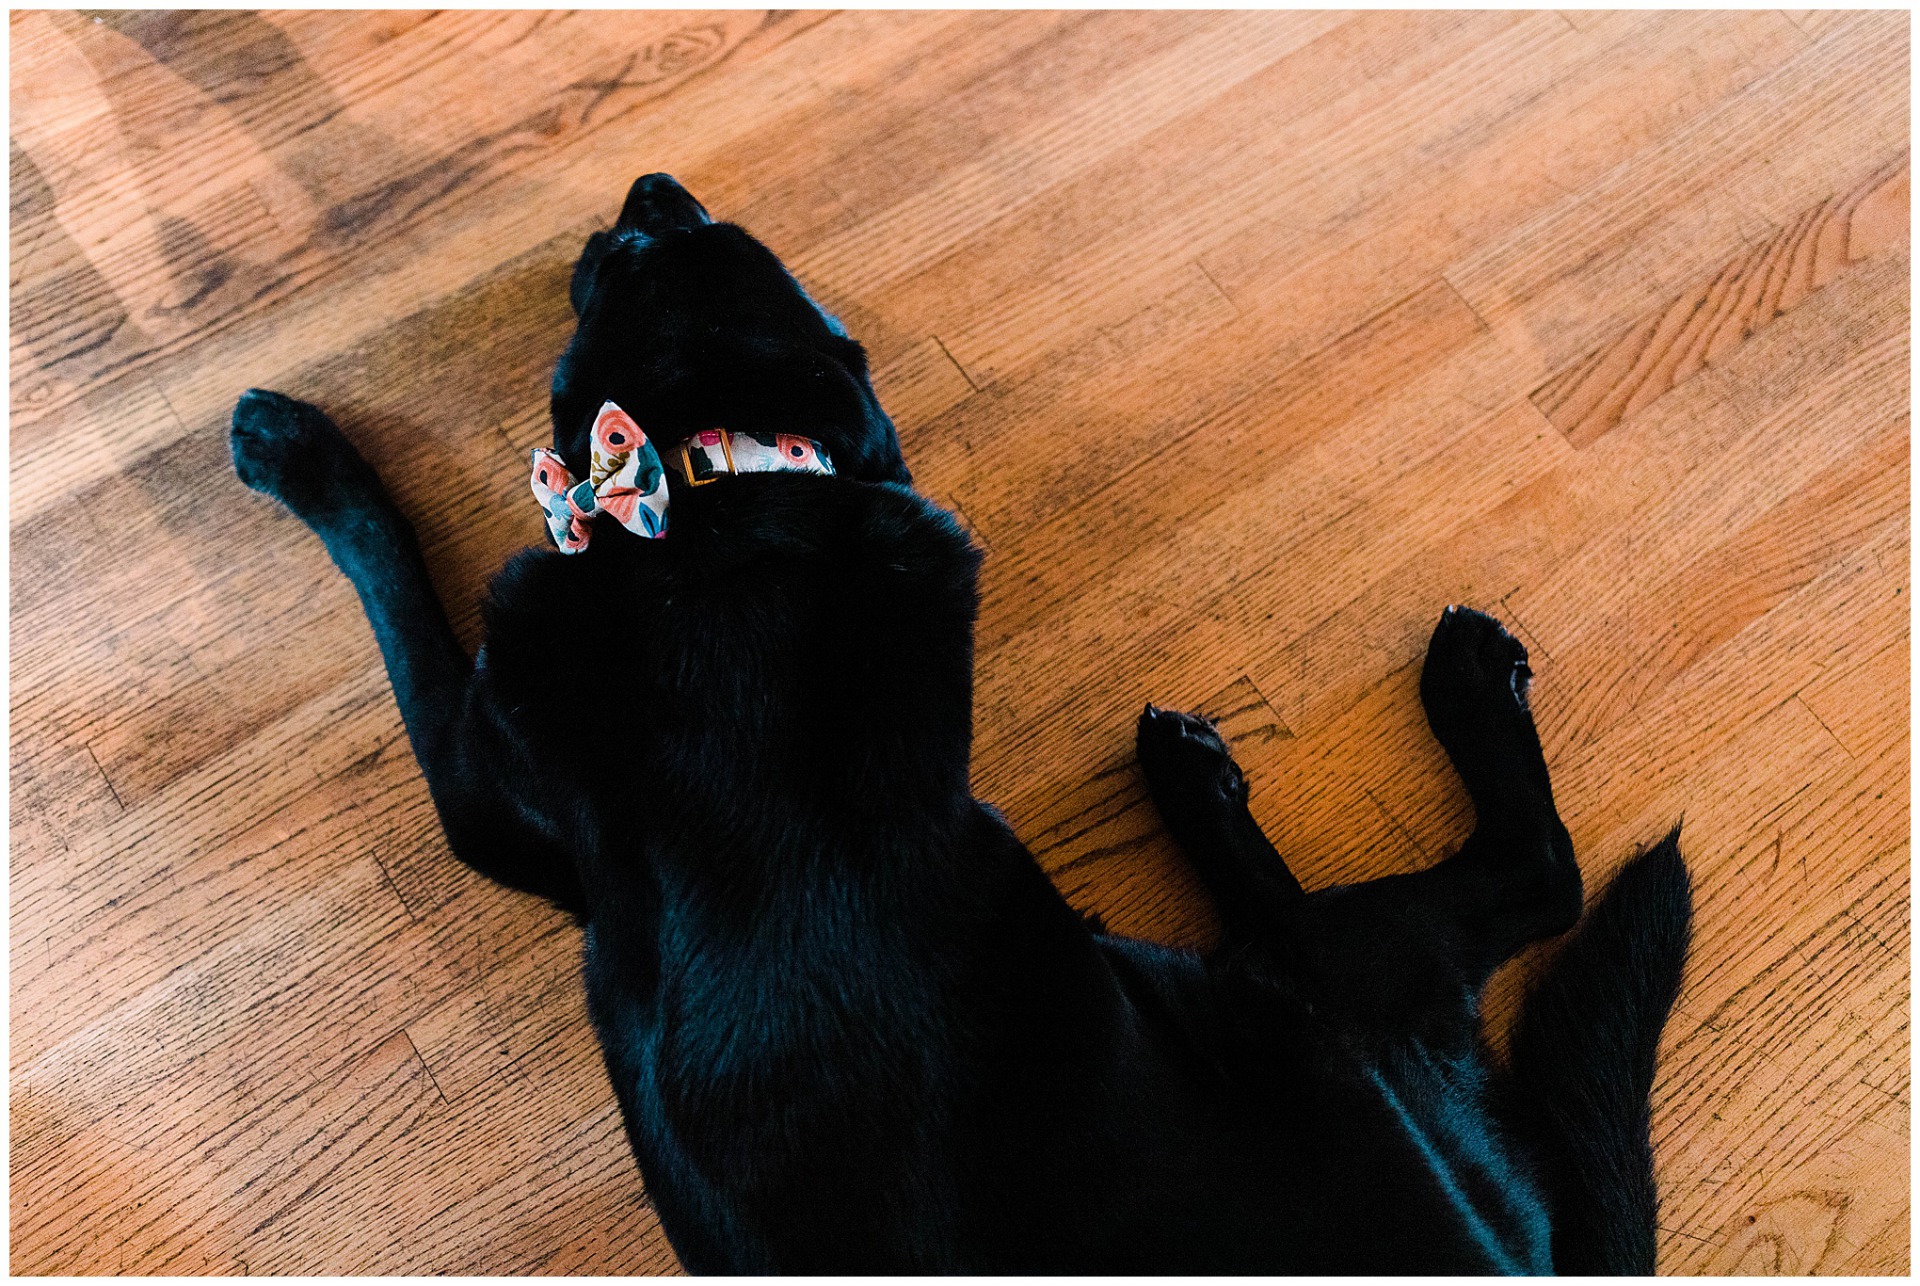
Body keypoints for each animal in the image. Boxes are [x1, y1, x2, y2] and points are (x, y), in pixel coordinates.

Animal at [232, 173, 1689, 1282]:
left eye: (650, 249)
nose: (647, 188)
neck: (714, 508)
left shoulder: (483, 792)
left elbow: (392, 577)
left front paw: (289, 441)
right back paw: (1192, 770)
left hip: (1318, 981)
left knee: (1536, 880)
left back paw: (1443, 688)